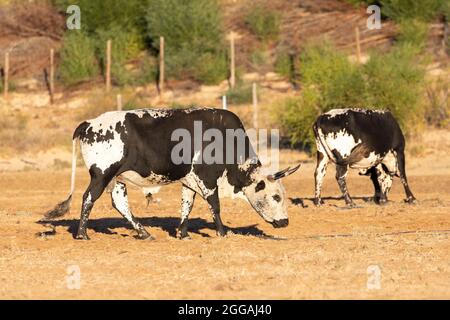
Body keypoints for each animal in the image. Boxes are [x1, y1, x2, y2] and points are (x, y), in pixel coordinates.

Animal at [45, 107, 300, 240]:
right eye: (276, 196)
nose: (286, 222)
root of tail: (88, 124)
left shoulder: (189, 180)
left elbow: (187, 205)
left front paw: (183, 233)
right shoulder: (207, 177)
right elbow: (214, 205)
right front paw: (222, 232)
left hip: (117, 178)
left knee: (120, 203)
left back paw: (144, 232)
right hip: (102, 174)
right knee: (88, 198)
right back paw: (82, 234)